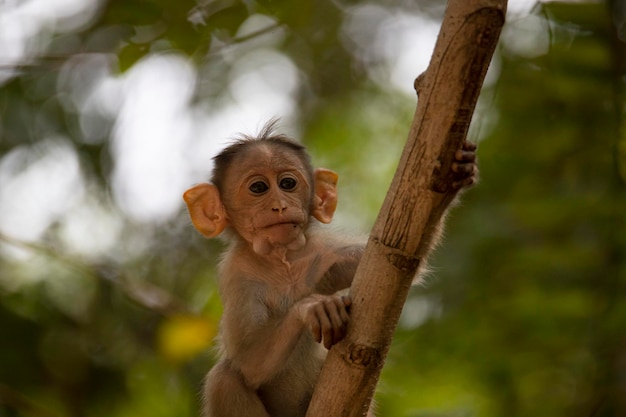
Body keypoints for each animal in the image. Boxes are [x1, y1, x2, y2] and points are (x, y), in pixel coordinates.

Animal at [183, 118, 476, 414]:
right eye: (258, 188)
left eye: (287, 183)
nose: (280, 206)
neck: (283, 263)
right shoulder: (236, 274)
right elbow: (247, 362)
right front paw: (313, 307)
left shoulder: (326, 252)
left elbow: (399, 263)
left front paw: (452, 181)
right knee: (223, 379)